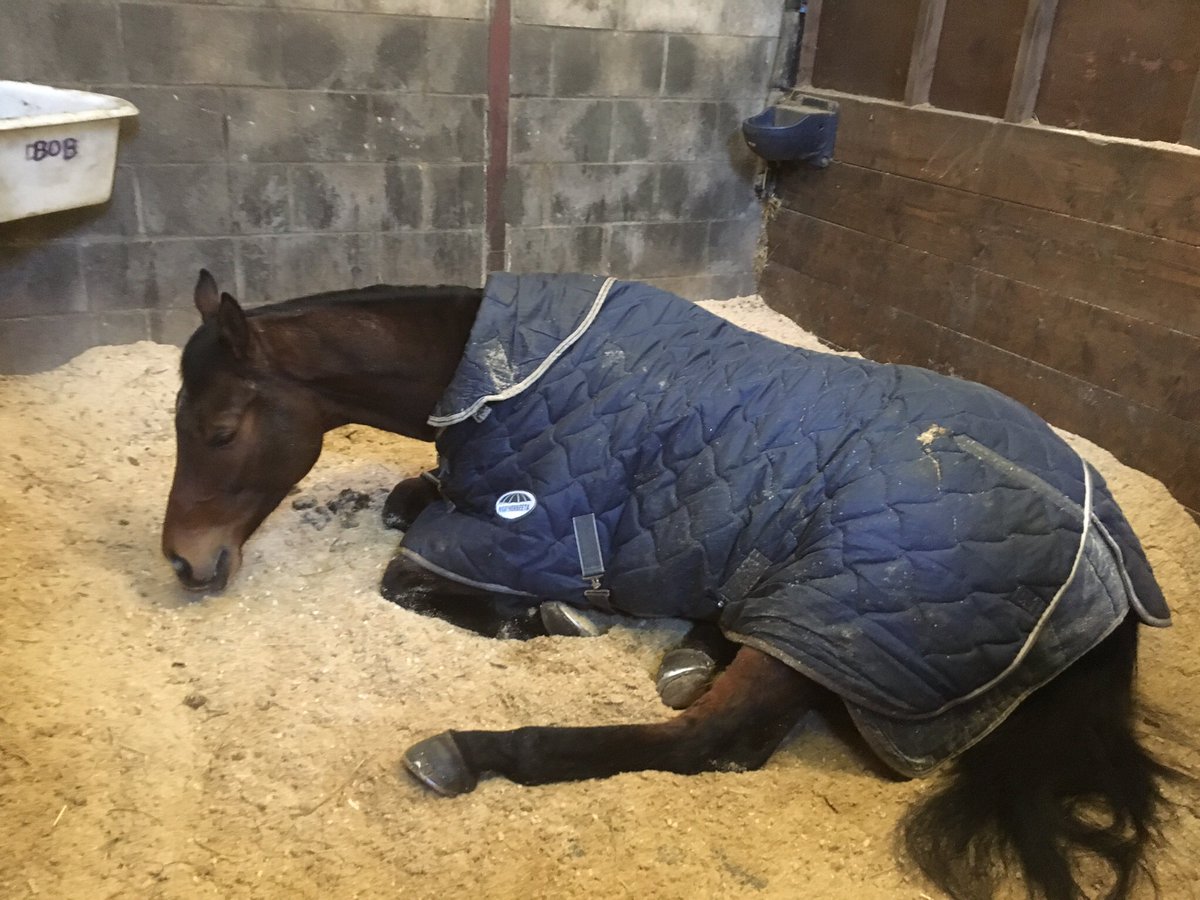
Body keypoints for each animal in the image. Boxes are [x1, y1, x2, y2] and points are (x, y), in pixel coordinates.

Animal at [162, 269, 1182, 900]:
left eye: (217, 429)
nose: (185, 560)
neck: (493, 371)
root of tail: (1111, 570)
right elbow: (403, 502)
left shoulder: (520, 529)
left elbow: (407, 575)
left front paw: (550, 616)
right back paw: (693, 646)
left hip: (827, 619)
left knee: (711, 742)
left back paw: (474, 748)